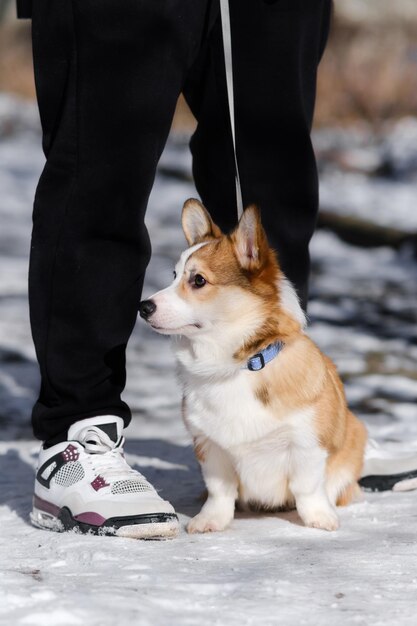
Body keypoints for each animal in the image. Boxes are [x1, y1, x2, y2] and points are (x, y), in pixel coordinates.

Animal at [138, 200, 366, 532]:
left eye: (198, 280)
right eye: (174, 274)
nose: (143, 307)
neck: (239, 364)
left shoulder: (307, 443)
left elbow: (307, 486)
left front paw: (319, 518)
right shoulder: (209, 446)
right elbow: (220, 491)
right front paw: (211, 520)